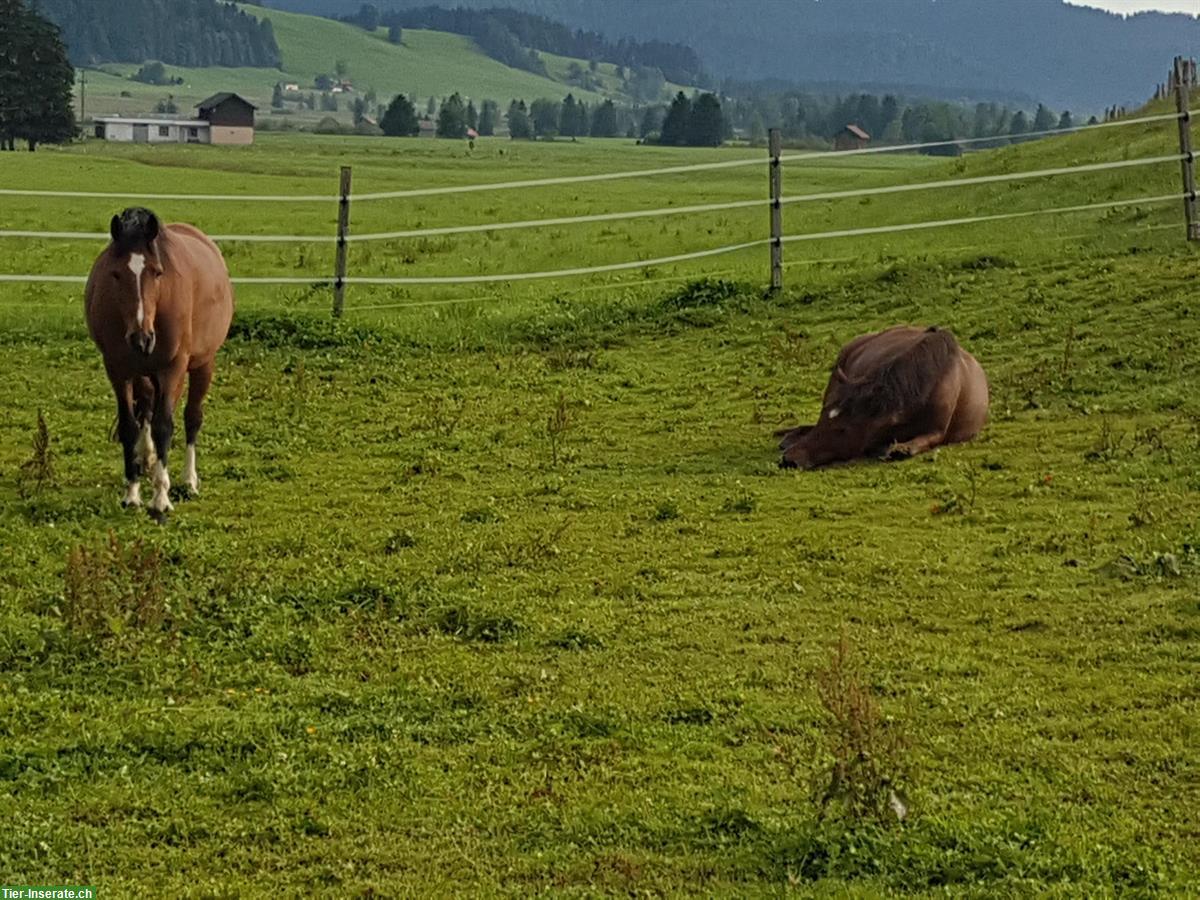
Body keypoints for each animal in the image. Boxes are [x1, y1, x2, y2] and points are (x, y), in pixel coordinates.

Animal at [85, 210, 235, 520]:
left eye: (157, 272)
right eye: (116, 273)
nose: (141, 338)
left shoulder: (172, 369)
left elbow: (164, 425)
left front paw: (160, 499)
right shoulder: (118, 370)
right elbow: (131, 425)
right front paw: (132, 493)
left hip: (202, 365)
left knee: (191, 418)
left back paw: (188, 480)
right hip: (146, 375)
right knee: (146, 410)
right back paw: (147, 459)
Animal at [772, 324, 988, 468]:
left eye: (842, 430)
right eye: (823, 420)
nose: (790, 459)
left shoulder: (938, 430)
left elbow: (922, 441)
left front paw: (898, 448)